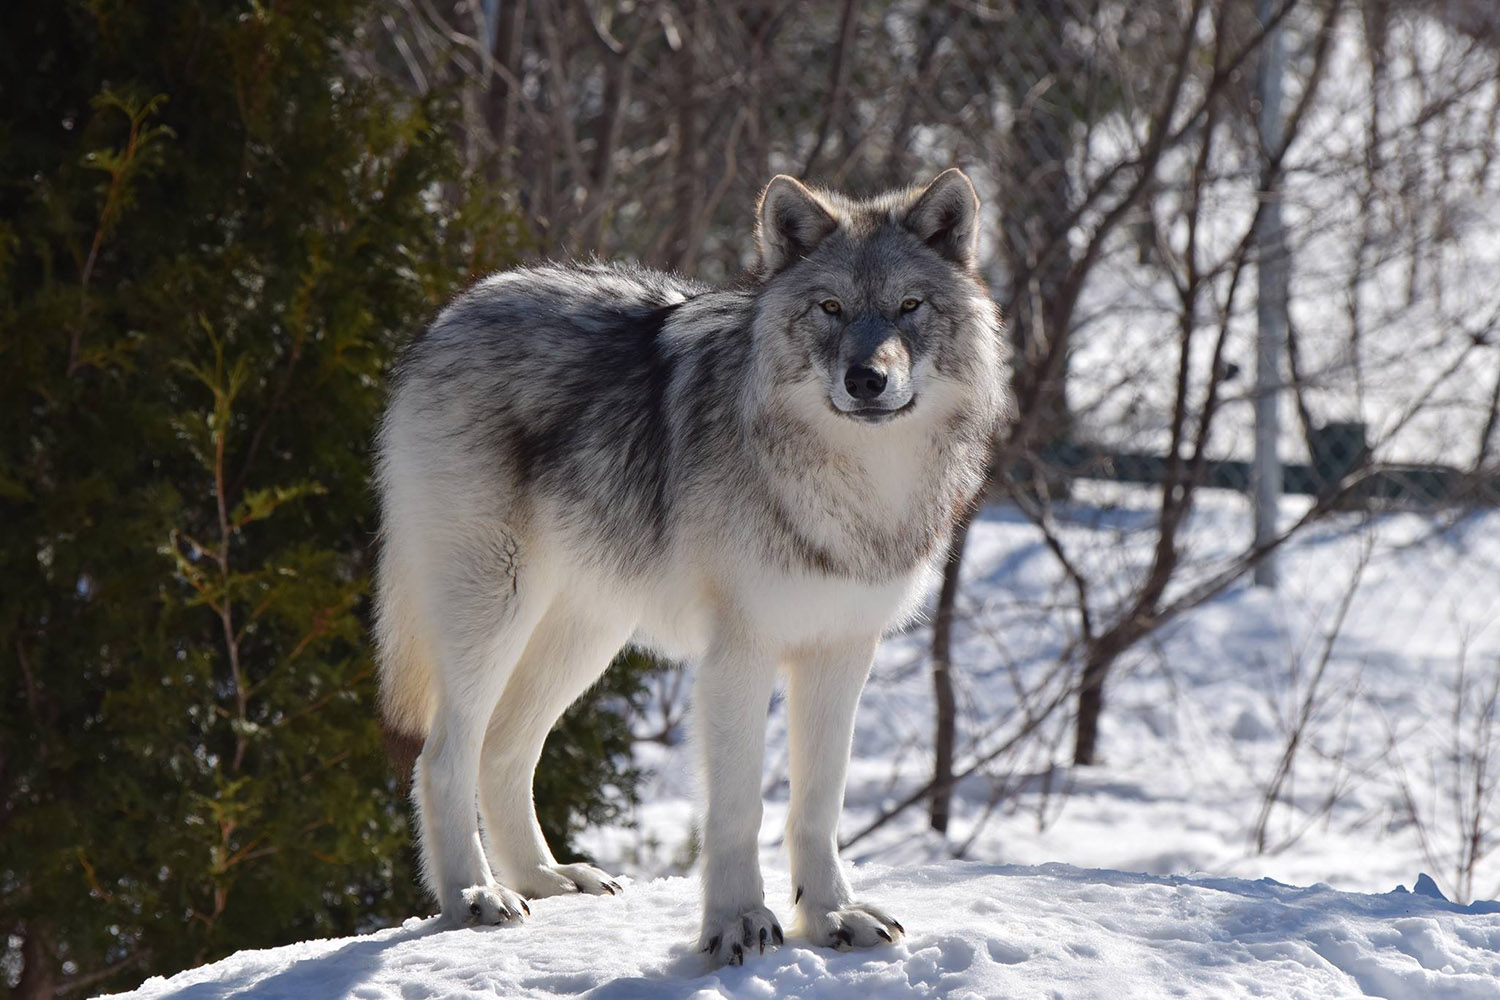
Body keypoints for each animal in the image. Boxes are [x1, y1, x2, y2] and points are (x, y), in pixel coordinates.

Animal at [373, 167, 1008, 965]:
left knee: (505, 751)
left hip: (585, 638)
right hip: (494, 614)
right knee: (443, 756)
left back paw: (548, 879)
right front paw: (738, 923)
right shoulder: (739, 655)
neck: (855, 481)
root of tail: (452, 313)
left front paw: (831, 916)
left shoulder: (840, 652)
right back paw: (473, 895)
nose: (867, 379)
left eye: (908, 307)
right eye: (831, 308)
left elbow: (817, 804)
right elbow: (739, 808)